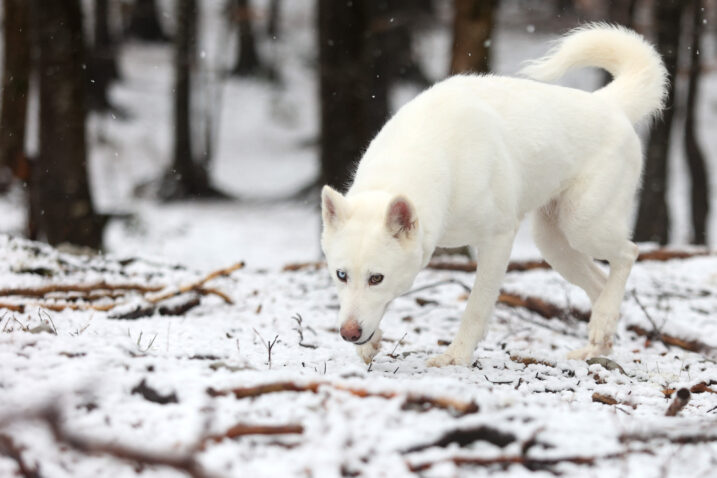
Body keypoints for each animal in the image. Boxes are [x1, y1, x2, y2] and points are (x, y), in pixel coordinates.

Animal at [318, 24, 664, 366]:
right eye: (341, 275)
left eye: (376, 278)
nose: (348, 334)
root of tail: (609, 104)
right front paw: (369, 345)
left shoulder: (498, 241)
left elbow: (476, 307)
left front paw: (455, 357)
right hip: (553, 244)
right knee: (599, 282)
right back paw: (596, 343)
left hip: (583, 224)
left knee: (629, 253)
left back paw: (602, 322)